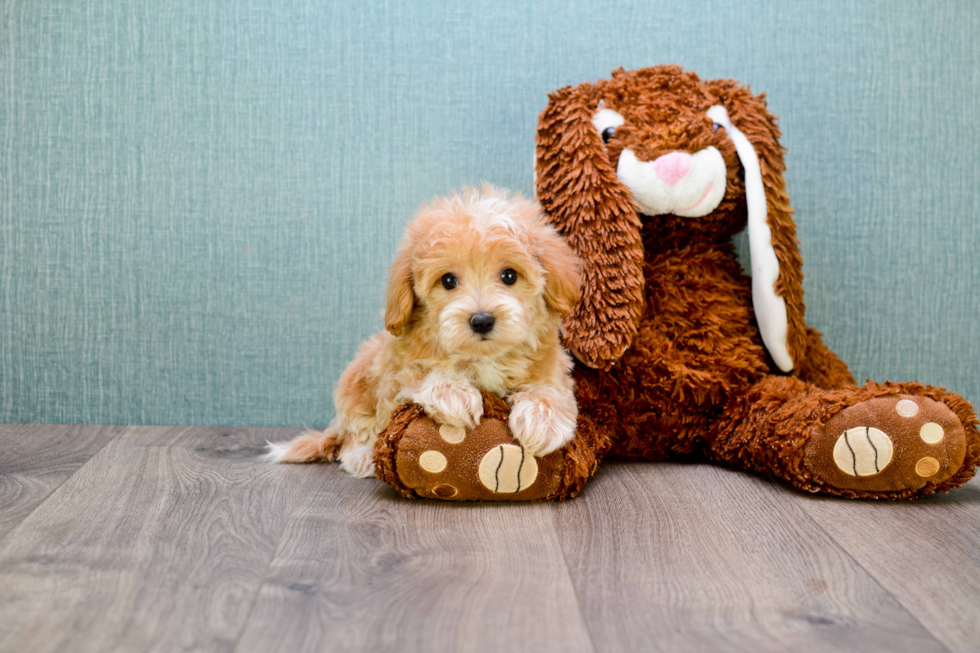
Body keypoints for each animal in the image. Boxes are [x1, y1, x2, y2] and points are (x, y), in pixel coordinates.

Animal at [266, 186, 580, 476]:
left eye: (509, 275)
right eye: (448, 280)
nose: (481, 320)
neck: (481, 356)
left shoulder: (550, 365)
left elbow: (549, 388)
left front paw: (543, 419)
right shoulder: (393, 371)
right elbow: (419, 375)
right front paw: (454, 394)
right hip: (355, 386)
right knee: (354, 433)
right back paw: (363, 456)